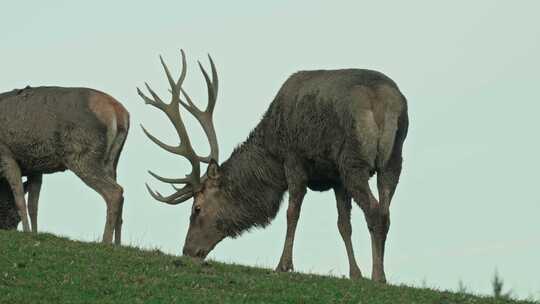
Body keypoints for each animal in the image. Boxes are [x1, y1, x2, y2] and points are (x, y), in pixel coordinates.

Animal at [0, 86, 130, 245]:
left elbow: (20, 199)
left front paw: (27, 232)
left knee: (115, 192)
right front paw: (34, 233)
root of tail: (119, 112)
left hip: (82, 155)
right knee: (120, 191)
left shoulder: (6, 155)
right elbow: (33, 205)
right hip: (111, 162)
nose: (7, 227)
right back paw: (117, 244)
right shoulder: (35, 167)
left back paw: (105, 242)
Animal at [140, 50, 410, 282]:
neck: (271, 154)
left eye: (197, 208)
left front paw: (284, 265)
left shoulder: (293, 159)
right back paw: (381, 274)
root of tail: (383, 99)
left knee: (374, 209)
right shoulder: (335, 177)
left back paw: (378, 276)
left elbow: (292, 213)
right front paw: (355, 274)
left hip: (353, 158)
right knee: (385, 210)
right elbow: (344, 224)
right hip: (393, 159)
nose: (187, 250)